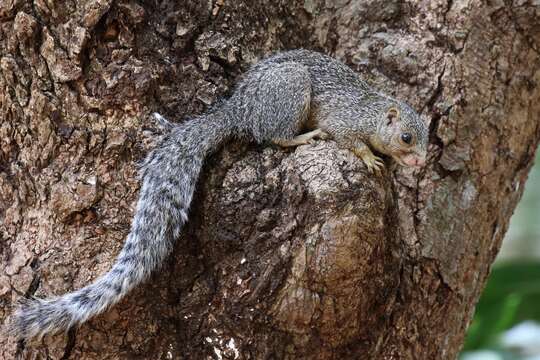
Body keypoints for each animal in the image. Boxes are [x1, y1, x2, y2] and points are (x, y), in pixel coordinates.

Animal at [8, 49, 428, 342]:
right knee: (272, 135)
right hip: (290, 90)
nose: (421, 161)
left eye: (428, 139)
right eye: (407, 137)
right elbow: (348, 140)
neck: (373, 114)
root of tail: (240, 111)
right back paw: (302, 137)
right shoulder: (345, 120)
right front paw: (370, 159)